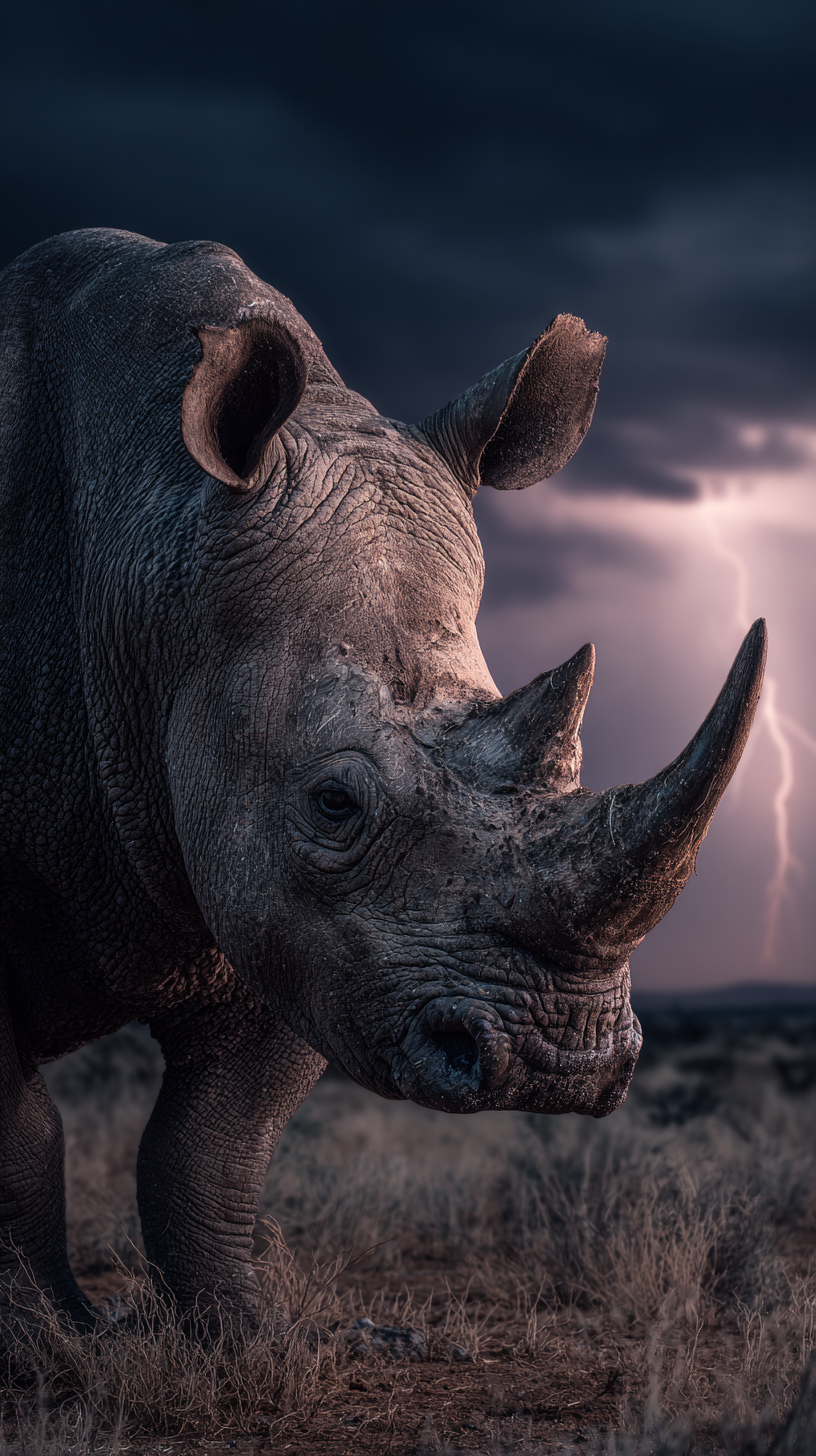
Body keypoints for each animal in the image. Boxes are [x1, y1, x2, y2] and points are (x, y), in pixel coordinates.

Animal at [0, 229, 766, 1332]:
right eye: (335, 803)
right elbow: (24, 1133)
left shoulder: (300, 921)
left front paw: (238, 1335)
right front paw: (51, 1336)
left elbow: (213, 1137)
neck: (148, 556)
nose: (561, 1061)